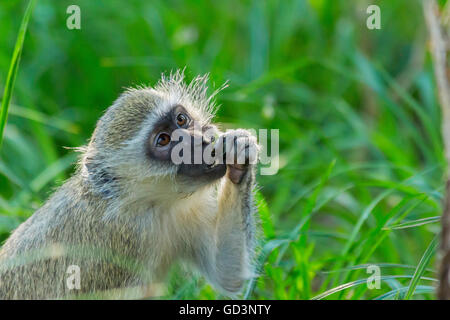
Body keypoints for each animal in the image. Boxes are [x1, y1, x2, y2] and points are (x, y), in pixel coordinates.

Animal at [0, 71, 260, 298]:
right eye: (164, 140)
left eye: (181, 120)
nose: (202, 141)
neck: (146, 206)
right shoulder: (114, 248)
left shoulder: (184, 213)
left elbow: (228, 275)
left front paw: (240, 151)